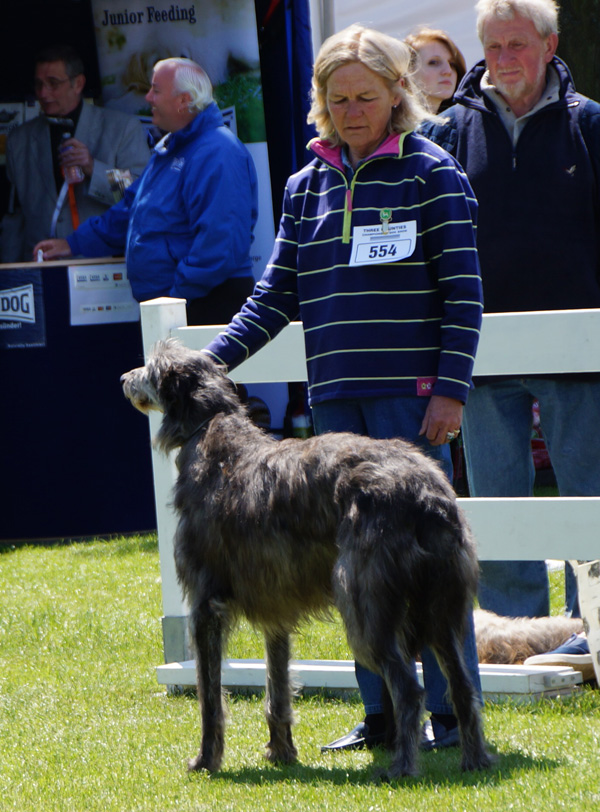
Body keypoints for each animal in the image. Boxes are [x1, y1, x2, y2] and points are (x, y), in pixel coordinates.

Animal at [122, 340, 492, 776]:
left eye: (150, 367)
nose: (123, 378)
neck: (211, 429)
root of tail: (428, 493)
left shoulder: (204, 602)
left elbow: (209, 695)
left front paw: (206, 759)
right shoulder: (275, 605)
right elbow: (277, 685)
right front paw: (281, 751)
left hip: (367, 604)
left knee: (409, 688)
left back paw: (401, 766)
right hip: (441, 605)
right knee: (463, 685)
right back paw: (475, 759)